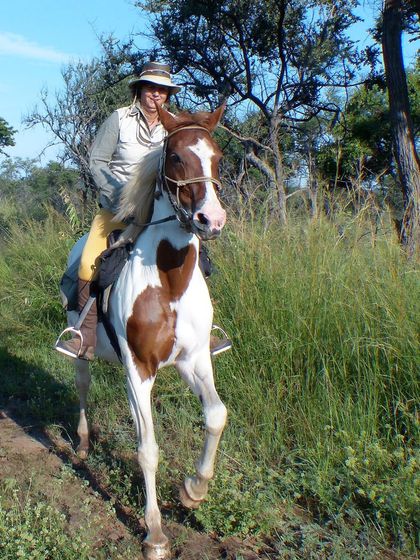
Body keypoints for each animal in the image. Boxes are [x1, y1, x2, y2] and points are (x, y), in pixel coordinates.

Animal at [64, 105, 230, 560]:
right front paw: (154, 533)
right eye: (174, 157)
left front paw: (194, 491)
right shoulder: (138, 370)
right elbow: (148, 450)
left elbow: (216, 415)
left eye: (218, 157)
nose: (211, 219)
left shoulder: (194, 360)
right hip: (81, 351)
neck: (168, 282)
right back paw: (82, 445)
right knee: (82, 386)